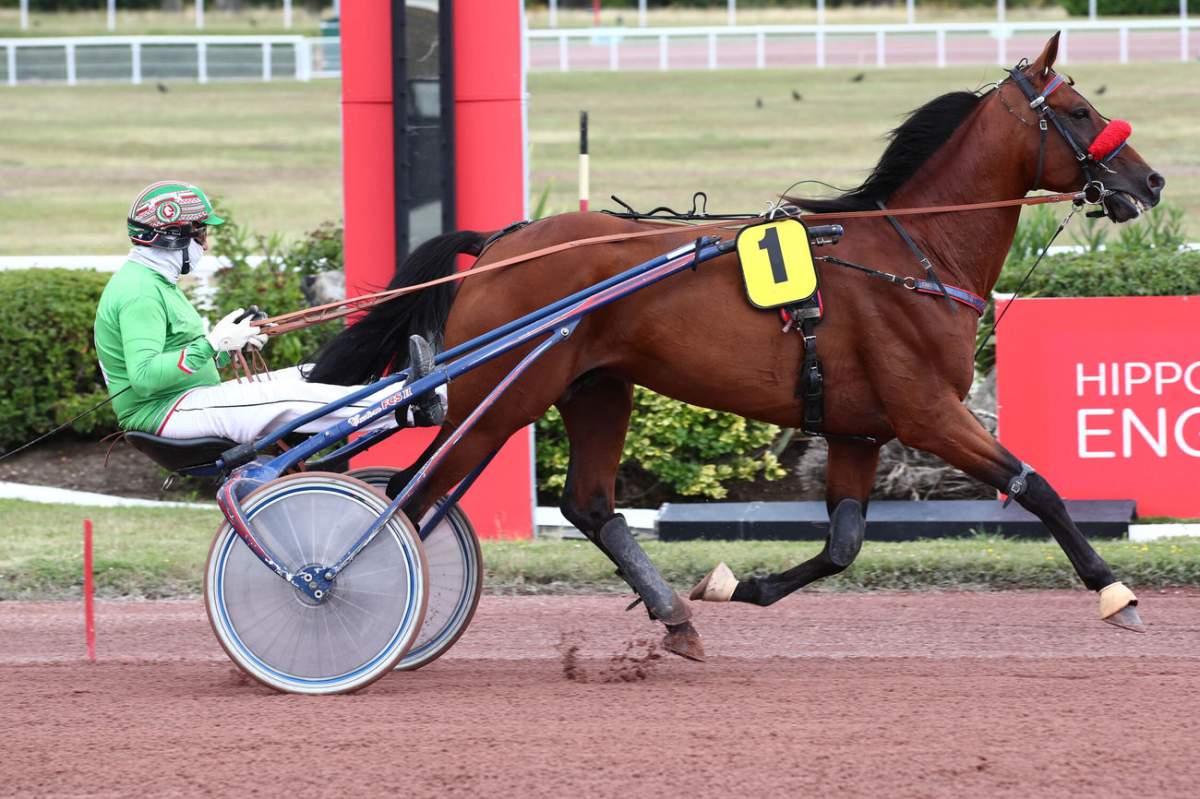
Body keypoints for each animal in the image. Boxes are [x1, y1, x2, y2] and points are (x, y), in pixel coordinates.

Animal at [308, 34, 1164, 660]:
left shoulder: (859, 427)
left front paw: (734, 586)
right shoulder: (926, 412)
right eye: (1080, 110)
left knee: (587, 503)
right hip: (502, 396)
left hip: (596, 387)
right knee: (408, 494)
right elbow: (1036, 485)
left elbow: (844, 542)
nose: (1152, 182)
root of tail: (499, 243)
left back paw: (675, 616)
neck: (914, 254)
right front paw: (1114, 592)